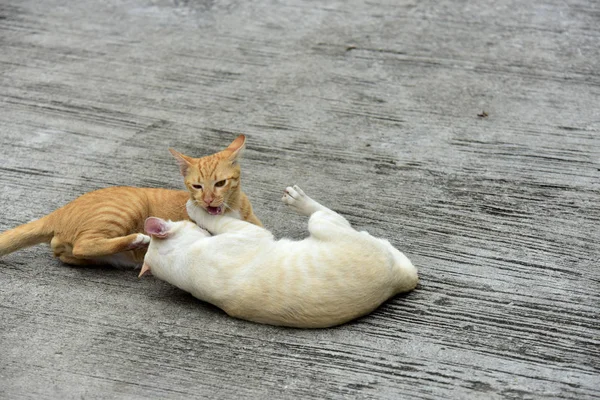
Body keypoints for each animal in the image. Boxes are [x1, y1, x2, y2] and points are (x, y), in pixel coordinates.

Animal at [0, 134, 260, 266]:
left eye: (220, 183)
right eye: (197, 186)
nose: (207, 200)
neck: (232, 209)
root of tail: (61, 210)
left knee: (67, 251)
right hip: (127, 207)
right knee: (85, 243)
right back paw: (137, 239)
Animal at [141, 185, 420, 328]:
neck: (180, 263)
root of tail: (396, 280)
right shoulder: (249, 233)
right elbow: (213, 219)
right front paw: (194, 207)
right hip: (322, 224)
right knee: (337, 219)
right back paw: (300, 200)